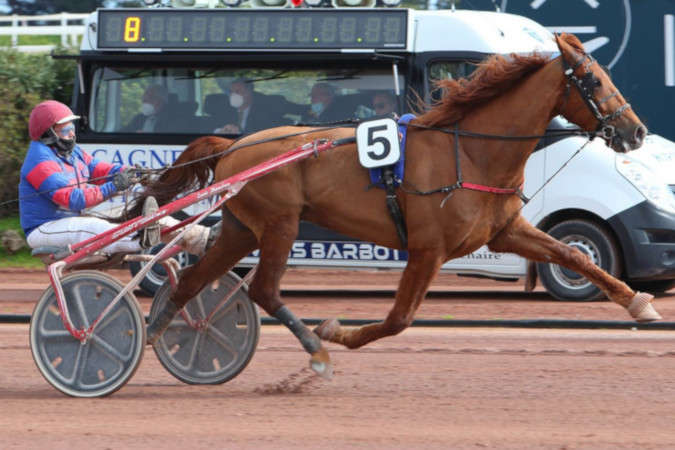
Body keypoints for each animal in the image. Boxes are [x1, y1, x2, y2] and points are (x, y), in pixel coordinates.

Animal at [133, 33, 659, 378]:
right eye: (593, 79)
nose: (636, 132)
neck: (471, 152)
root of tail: (235, 144)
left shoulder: (505, 230)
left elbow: (573, 254)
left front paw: (639, 303)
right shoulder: (428, 249)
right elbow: (398, 319)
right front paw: (336, 332)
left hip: (243, 228)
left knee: (194, 282)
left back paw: (160, 332)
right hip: (280, 224)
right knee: (262, 289)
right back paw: (313, 347)